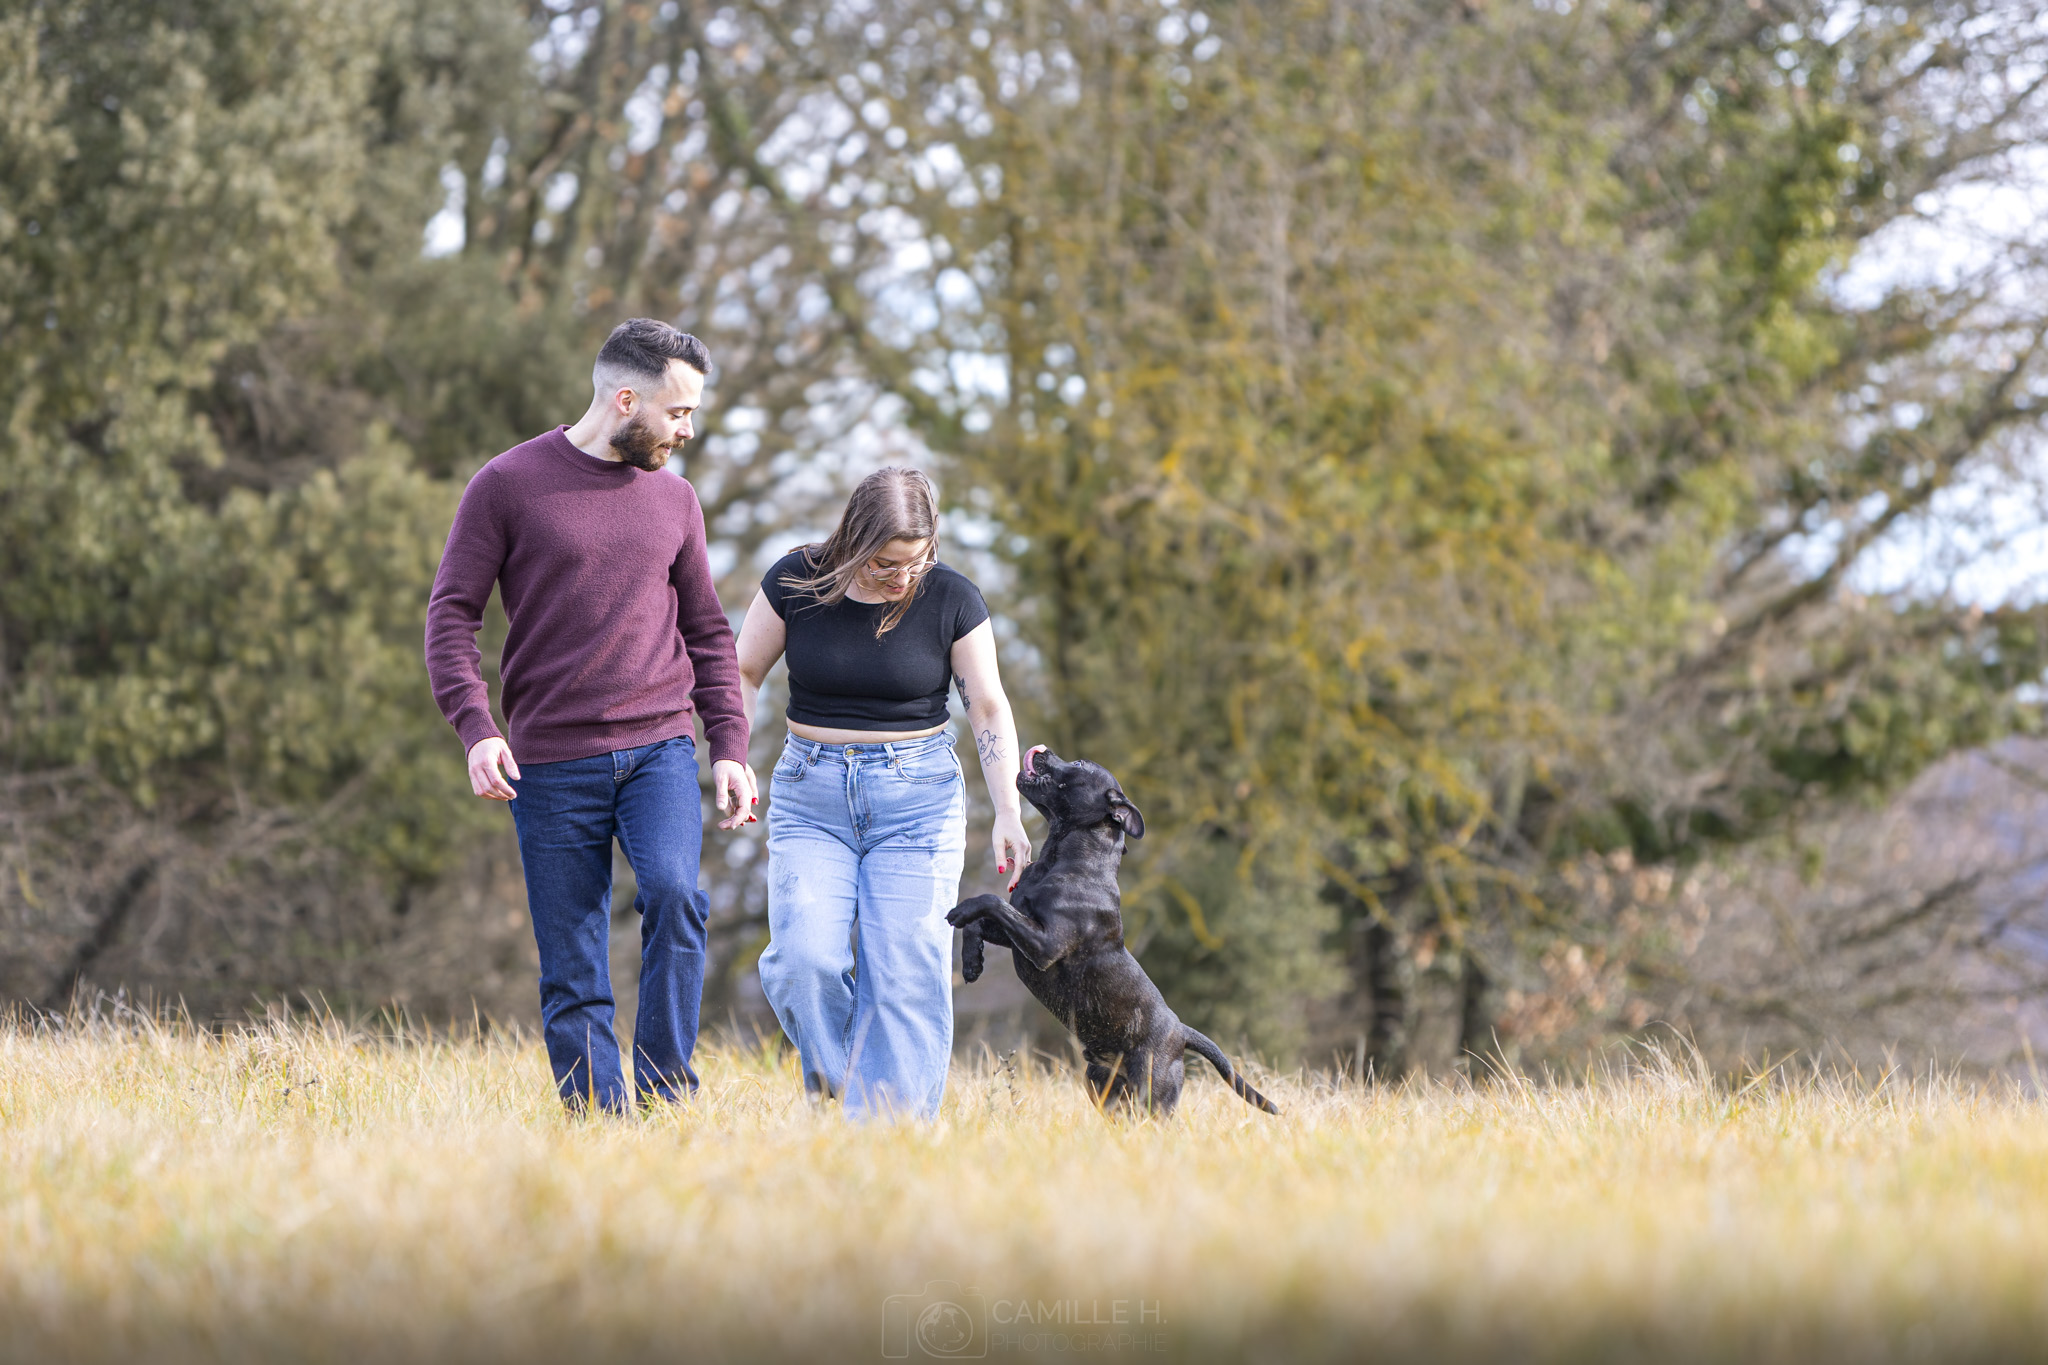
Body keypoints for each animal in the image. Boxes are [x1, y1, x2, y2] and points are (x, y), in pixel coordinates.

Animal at [947, 746, 1280, 1117]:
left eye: (1079, 764)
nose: (1043, 750)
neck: (1064, 857)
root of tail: (1181, 1032)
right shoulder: (1019, 934)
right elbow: (982, 921)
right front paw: (971, 963)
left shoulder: (1045, 944)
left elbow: (989, 901)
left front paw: (961, 910)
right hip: (1102, 1087)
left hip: (1153, 1094)